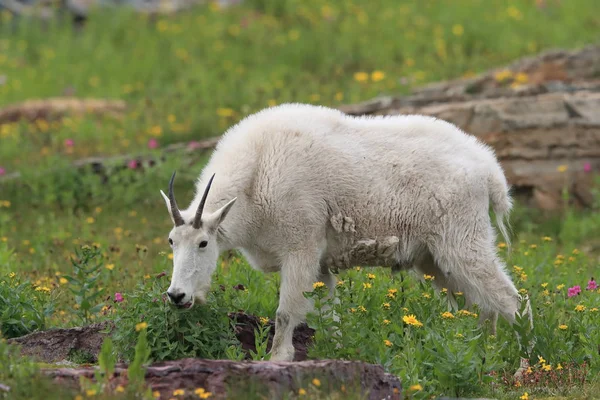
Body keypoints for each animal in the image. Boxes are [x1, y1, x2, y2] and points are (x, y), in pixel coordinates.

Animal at [162, 101, 528, 360]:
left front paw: (277, 360)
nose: (177, 296)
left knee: (509, 300)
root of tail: (490, 170)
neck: (255, 177)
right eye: (171, 241)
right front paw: (340, 354)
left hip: (461, 238)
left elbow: (285, 313)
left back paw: (523, 362)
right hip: (434, 258)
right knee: (480, 306)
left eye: (203, 243)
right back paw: (479, 354)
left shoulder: (301, 248)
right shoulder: (321, 264)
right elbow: (330, 316)